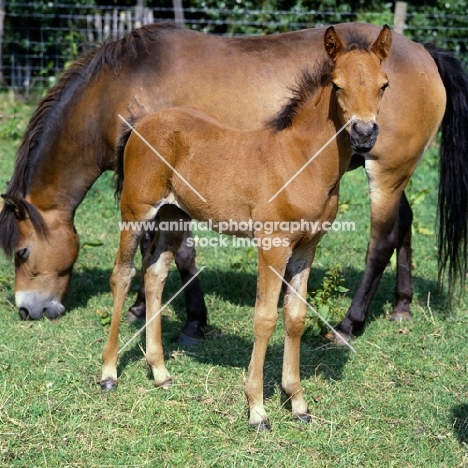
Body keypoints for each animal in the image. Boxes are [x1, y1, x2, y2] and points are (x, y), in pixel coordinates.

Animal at [0, 21, 464, 344]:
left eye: (21, 252)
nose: (26, 310)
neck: (123, 83)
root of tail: (424, 50)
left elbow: (175, 249)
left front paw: (189, 319)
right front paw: (145, 306)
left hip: (384, 173)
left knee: (381, 241)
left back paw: (349, 324)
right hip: (394, 173)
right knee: (405, 226)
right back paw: (401, 307)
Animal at [100, 24, 394, 428]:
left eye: (384, 84)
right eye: (337, 84)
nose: (364, 133)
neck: (300, 160)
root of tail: (140, 124)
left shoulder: (306, 247)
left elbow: (295, 316)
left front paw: (297, 402)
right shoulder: (272, 245)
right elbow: (265, 317)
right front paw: (257, 408)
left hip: (174, 216)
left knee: (155, 274)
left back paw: (159, 372)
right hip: (136, 212)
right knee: (123, 274)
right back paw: (109, 373)